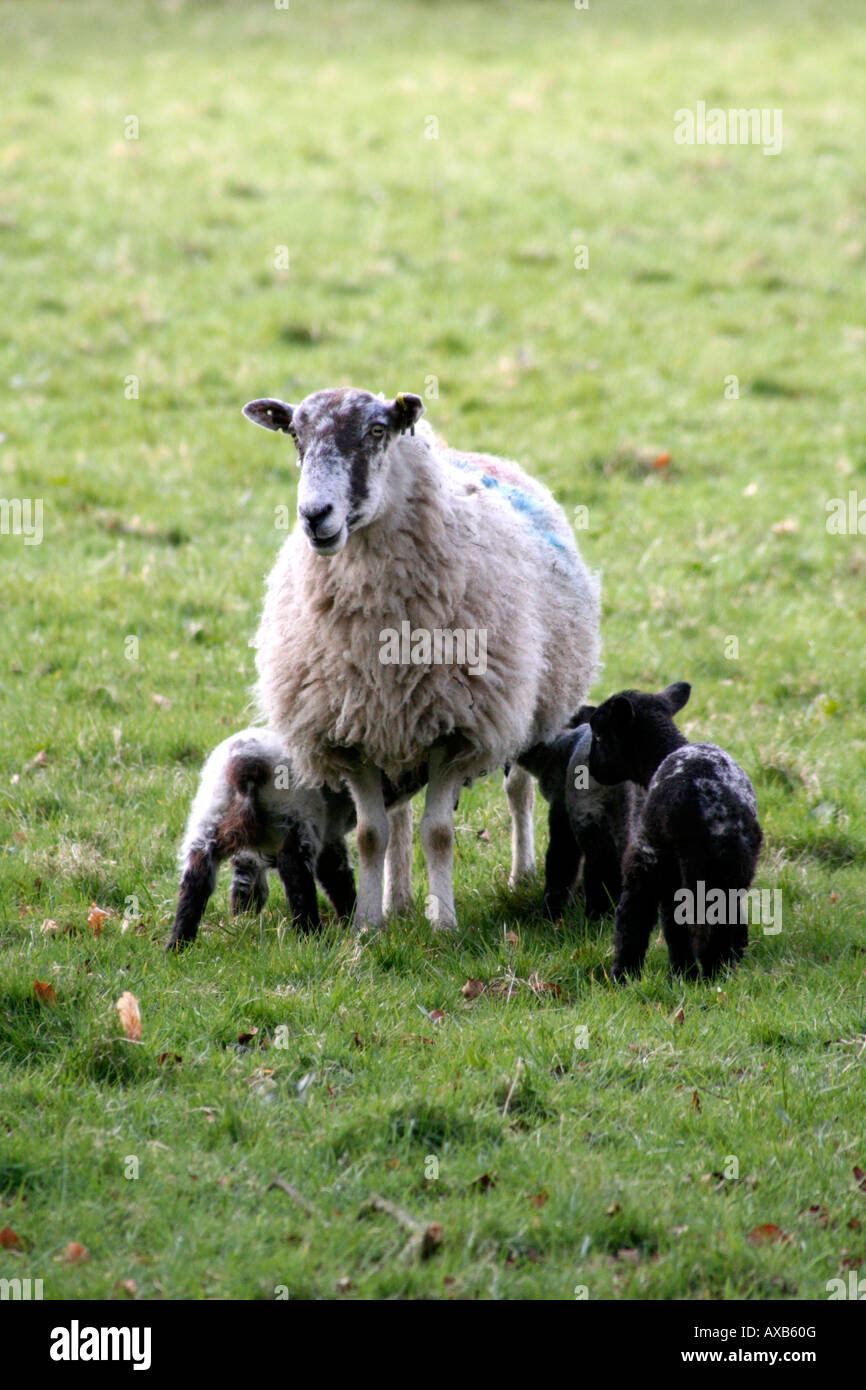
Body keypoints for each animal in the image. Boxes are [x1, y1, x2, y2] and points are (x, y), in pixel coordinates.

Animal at [240, 391, 600, 928]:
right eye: (295, 436)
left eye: (376, 431)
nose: (314, 515)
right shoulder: (349, 735)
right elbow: (372, 834)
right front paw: (368, 925)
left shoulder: (458, 732)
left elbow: (440, 832)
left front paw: (444, 925)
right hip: (394, 732)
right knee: (398, 817)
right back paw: (399, 900)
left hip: (524, 711)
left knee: (518, 791)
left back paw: (519, 875)